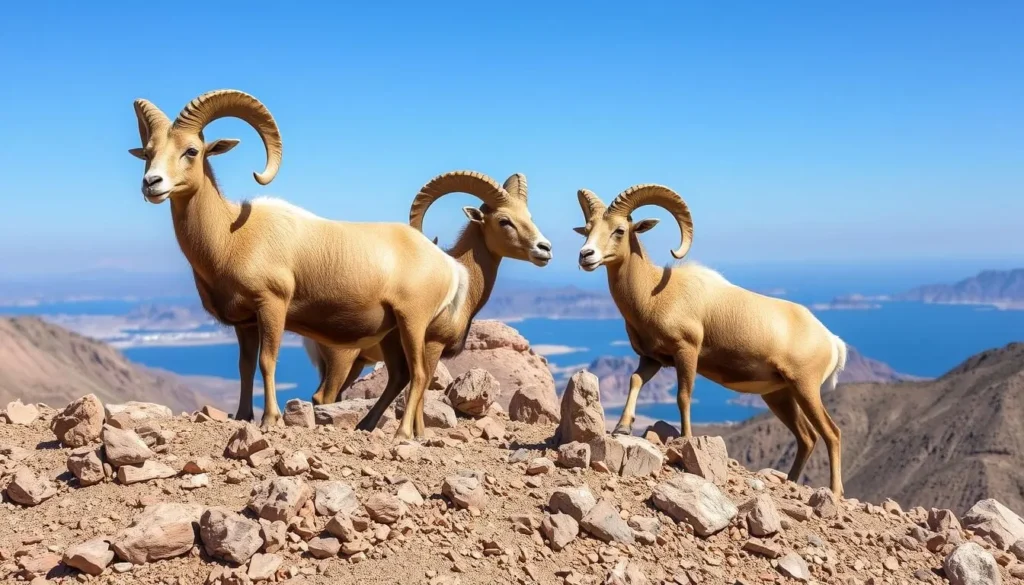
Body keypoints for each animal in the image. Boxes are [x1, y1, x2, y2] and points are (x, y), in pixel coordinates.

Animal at [128, 89, 471, 438]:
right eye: (148, 153)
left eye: (191, 150)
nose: (152, 183)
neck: (232, 237)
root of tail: (450, 267)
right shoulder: (246, 323)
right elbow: (245, 367)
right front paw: (243, 416)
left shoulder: (272, 305)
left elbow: (267, 361)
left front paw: (269, 419)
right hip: (391, 332)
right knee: (400, 375)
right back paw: (365, 425)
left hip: (413, 323)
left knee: (418, 374)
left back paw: (401, 433)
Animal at [305, 171, 552, 435]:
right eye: (504, 221)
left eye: (528, 217)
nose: (544, 249)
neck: (461, 281)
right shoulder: (433, 344)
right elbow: (422, 388)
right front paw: (419, 434)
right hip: (342, 357)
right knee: (325, 396)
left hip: (357, 363)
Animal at [573, 185, 847, 495]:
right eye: (587, 230)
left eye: (619, 230)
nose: (586, 255)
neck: (655, 295)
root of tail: (832, 341)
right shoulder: (652, 360)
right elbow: (635, 380)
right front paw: (622, 427)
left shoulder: (687, 352)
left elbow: (683, 396)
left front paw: (685, 439)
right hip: (780, 395)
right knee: (807, 437)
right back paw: (790, 481)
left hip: (805, 388)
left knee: (832, 433)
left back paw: (835, 492)